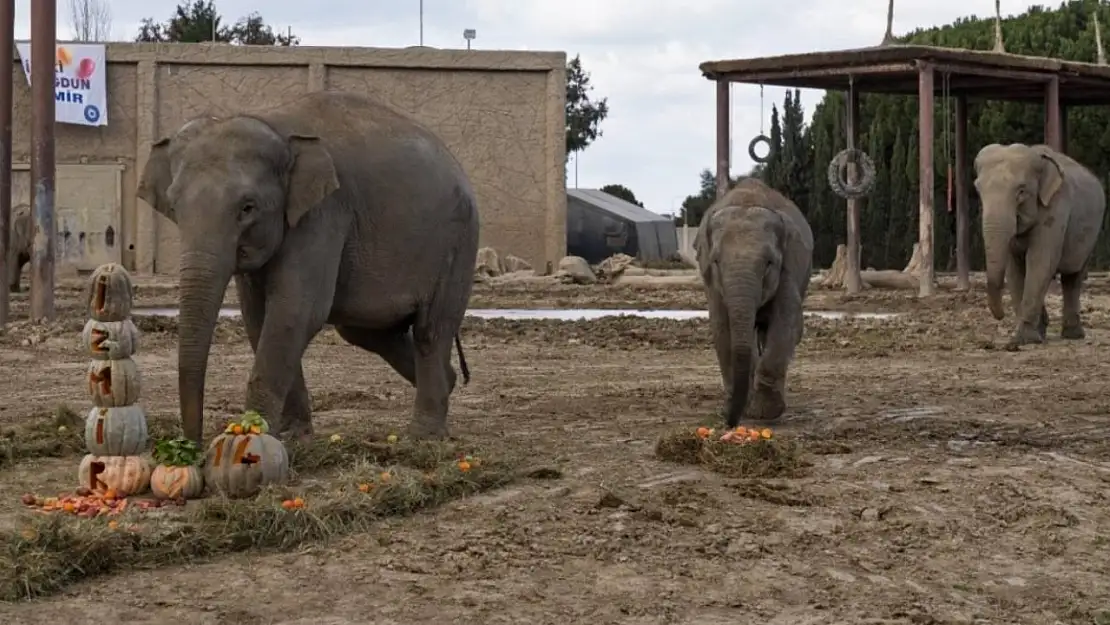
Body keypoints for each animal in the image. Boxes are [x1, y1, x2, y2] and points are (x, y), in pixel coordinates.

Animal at [137, 91, 481, 444]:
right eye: (174, 206)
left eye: (248, 208)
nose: (190, 444)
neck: (273, 124)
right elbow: (259, 318)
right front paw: (292, 435)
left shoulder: (323, 213)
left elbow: (295, 311)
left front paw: (254, 436)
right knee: (366, 332)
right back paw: (450, 382)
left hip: (458, 242)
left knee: (431, 329)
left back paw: (424, 436)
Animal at [692, 178, 816, 428]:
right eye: (716, 261)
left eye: (769, 263)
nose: (729, 422)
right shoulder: (712, 283)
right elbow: (721, 327)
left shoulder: (790, 266)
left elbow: (786, 320)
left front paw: (764, 413)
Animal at [976, 143, 1105, 353]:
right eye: (977, 189)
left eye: (1021, 191)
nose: (1001, 316)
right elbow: (1015, 270)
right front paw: (1034, 335)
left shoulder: (1056, 207)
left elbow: (1039, 262)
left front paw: (1023, 340)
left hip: (1092, 233)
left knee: (1073, 277)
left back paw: (1073, 335)